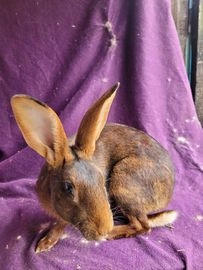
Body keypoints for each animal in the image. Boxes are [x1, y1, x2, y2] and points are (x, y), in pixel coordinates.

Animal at [10, 83, 177, 253]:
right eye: (68, 188)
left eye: (103, 181)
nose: (103, 229)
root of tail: (169, 190)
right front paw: (45, 243)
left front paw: (45, 243)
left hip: (124, 183)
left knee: (143, 226)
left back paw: (111, 234)